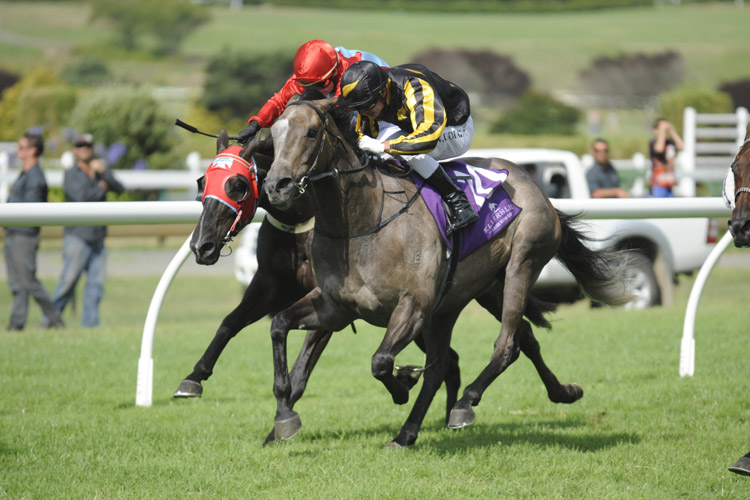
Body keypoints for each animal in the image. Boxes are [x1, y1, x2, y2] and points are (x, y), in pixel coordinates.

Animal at [264, 96, 636, 446]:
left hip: (522, 263)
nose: (276, 185)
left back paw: (463, 404)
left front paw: (403, 383)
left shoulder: (412, 306)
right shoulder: (336, 307)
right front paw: (284, 416)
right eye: (273, 135)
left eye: (312, 132)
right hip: (478, 292)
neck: (361, 224)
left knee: (504, 345)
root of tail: (534, 186)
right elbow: (279, 325)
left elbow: (381, 362)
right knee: (509, 343)